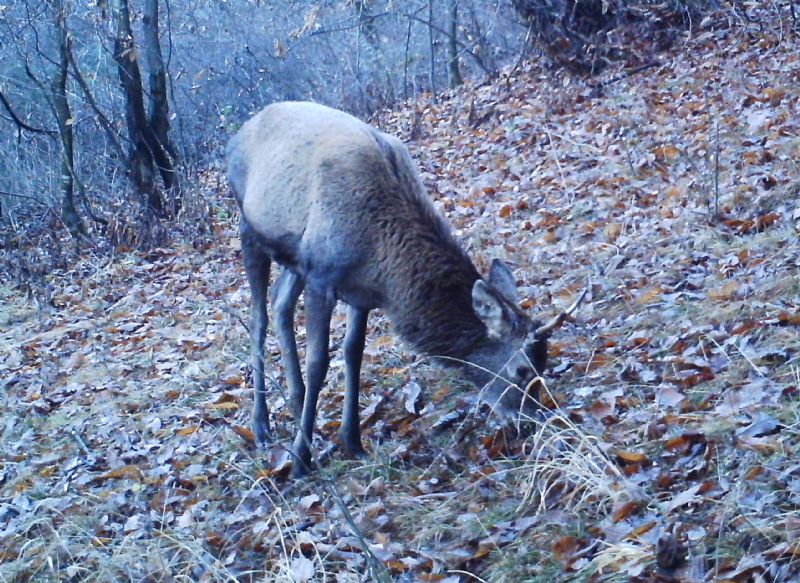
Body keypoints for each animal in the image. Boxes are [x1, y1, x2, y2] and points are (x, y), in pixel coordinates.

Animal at [228, 101, 584, 480]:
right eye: (521, 369)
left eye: (545, 364)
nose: (532, 422)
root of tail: (239, 134)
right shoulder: (322, 277)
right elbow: (318, 363)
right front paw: (300, 459)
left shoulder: (360, 292)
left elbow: (353, 354)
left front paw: (352, 440)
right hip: (248, 226)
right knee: (259, 319)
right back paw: (263, 426)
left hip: (292, 256)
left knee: (280, 301)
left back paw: (295, 403)